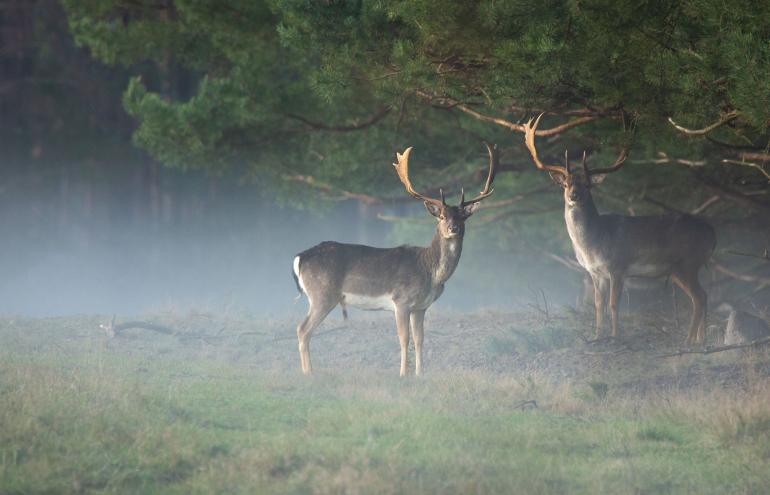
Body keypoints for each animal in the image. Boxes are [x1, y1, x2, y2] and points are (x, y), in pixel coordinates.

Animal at [290, 143, 498, 376]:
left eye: (463, 217)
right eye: (442, 216)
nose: (454, 228)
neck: (431, 273)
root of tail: (300, 258)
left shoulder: (420, 307)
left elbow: (420, 339)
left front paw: (420, 374)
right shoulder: (401, 300)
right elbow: (404, 339)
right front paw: (403, 374)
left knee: (303, 329)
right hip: (322, 294)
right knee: (302, 329)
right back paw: (309, 373)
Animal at [520, 115, 712, 344]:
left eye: (587, 185)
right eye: (565, 184)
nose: (574, 195)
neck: (594, 242)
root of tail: (712, 233)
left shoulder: (618, 266)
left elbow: (613, 304)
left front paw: (615, 335)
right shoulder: (595, 272)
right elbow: (598, 305)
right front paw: (596, 336)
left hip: (686, 263)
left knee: (699, 297)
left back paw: (689, 340)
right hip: (686, 268)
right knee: (704, 296)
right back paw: (702, 340)